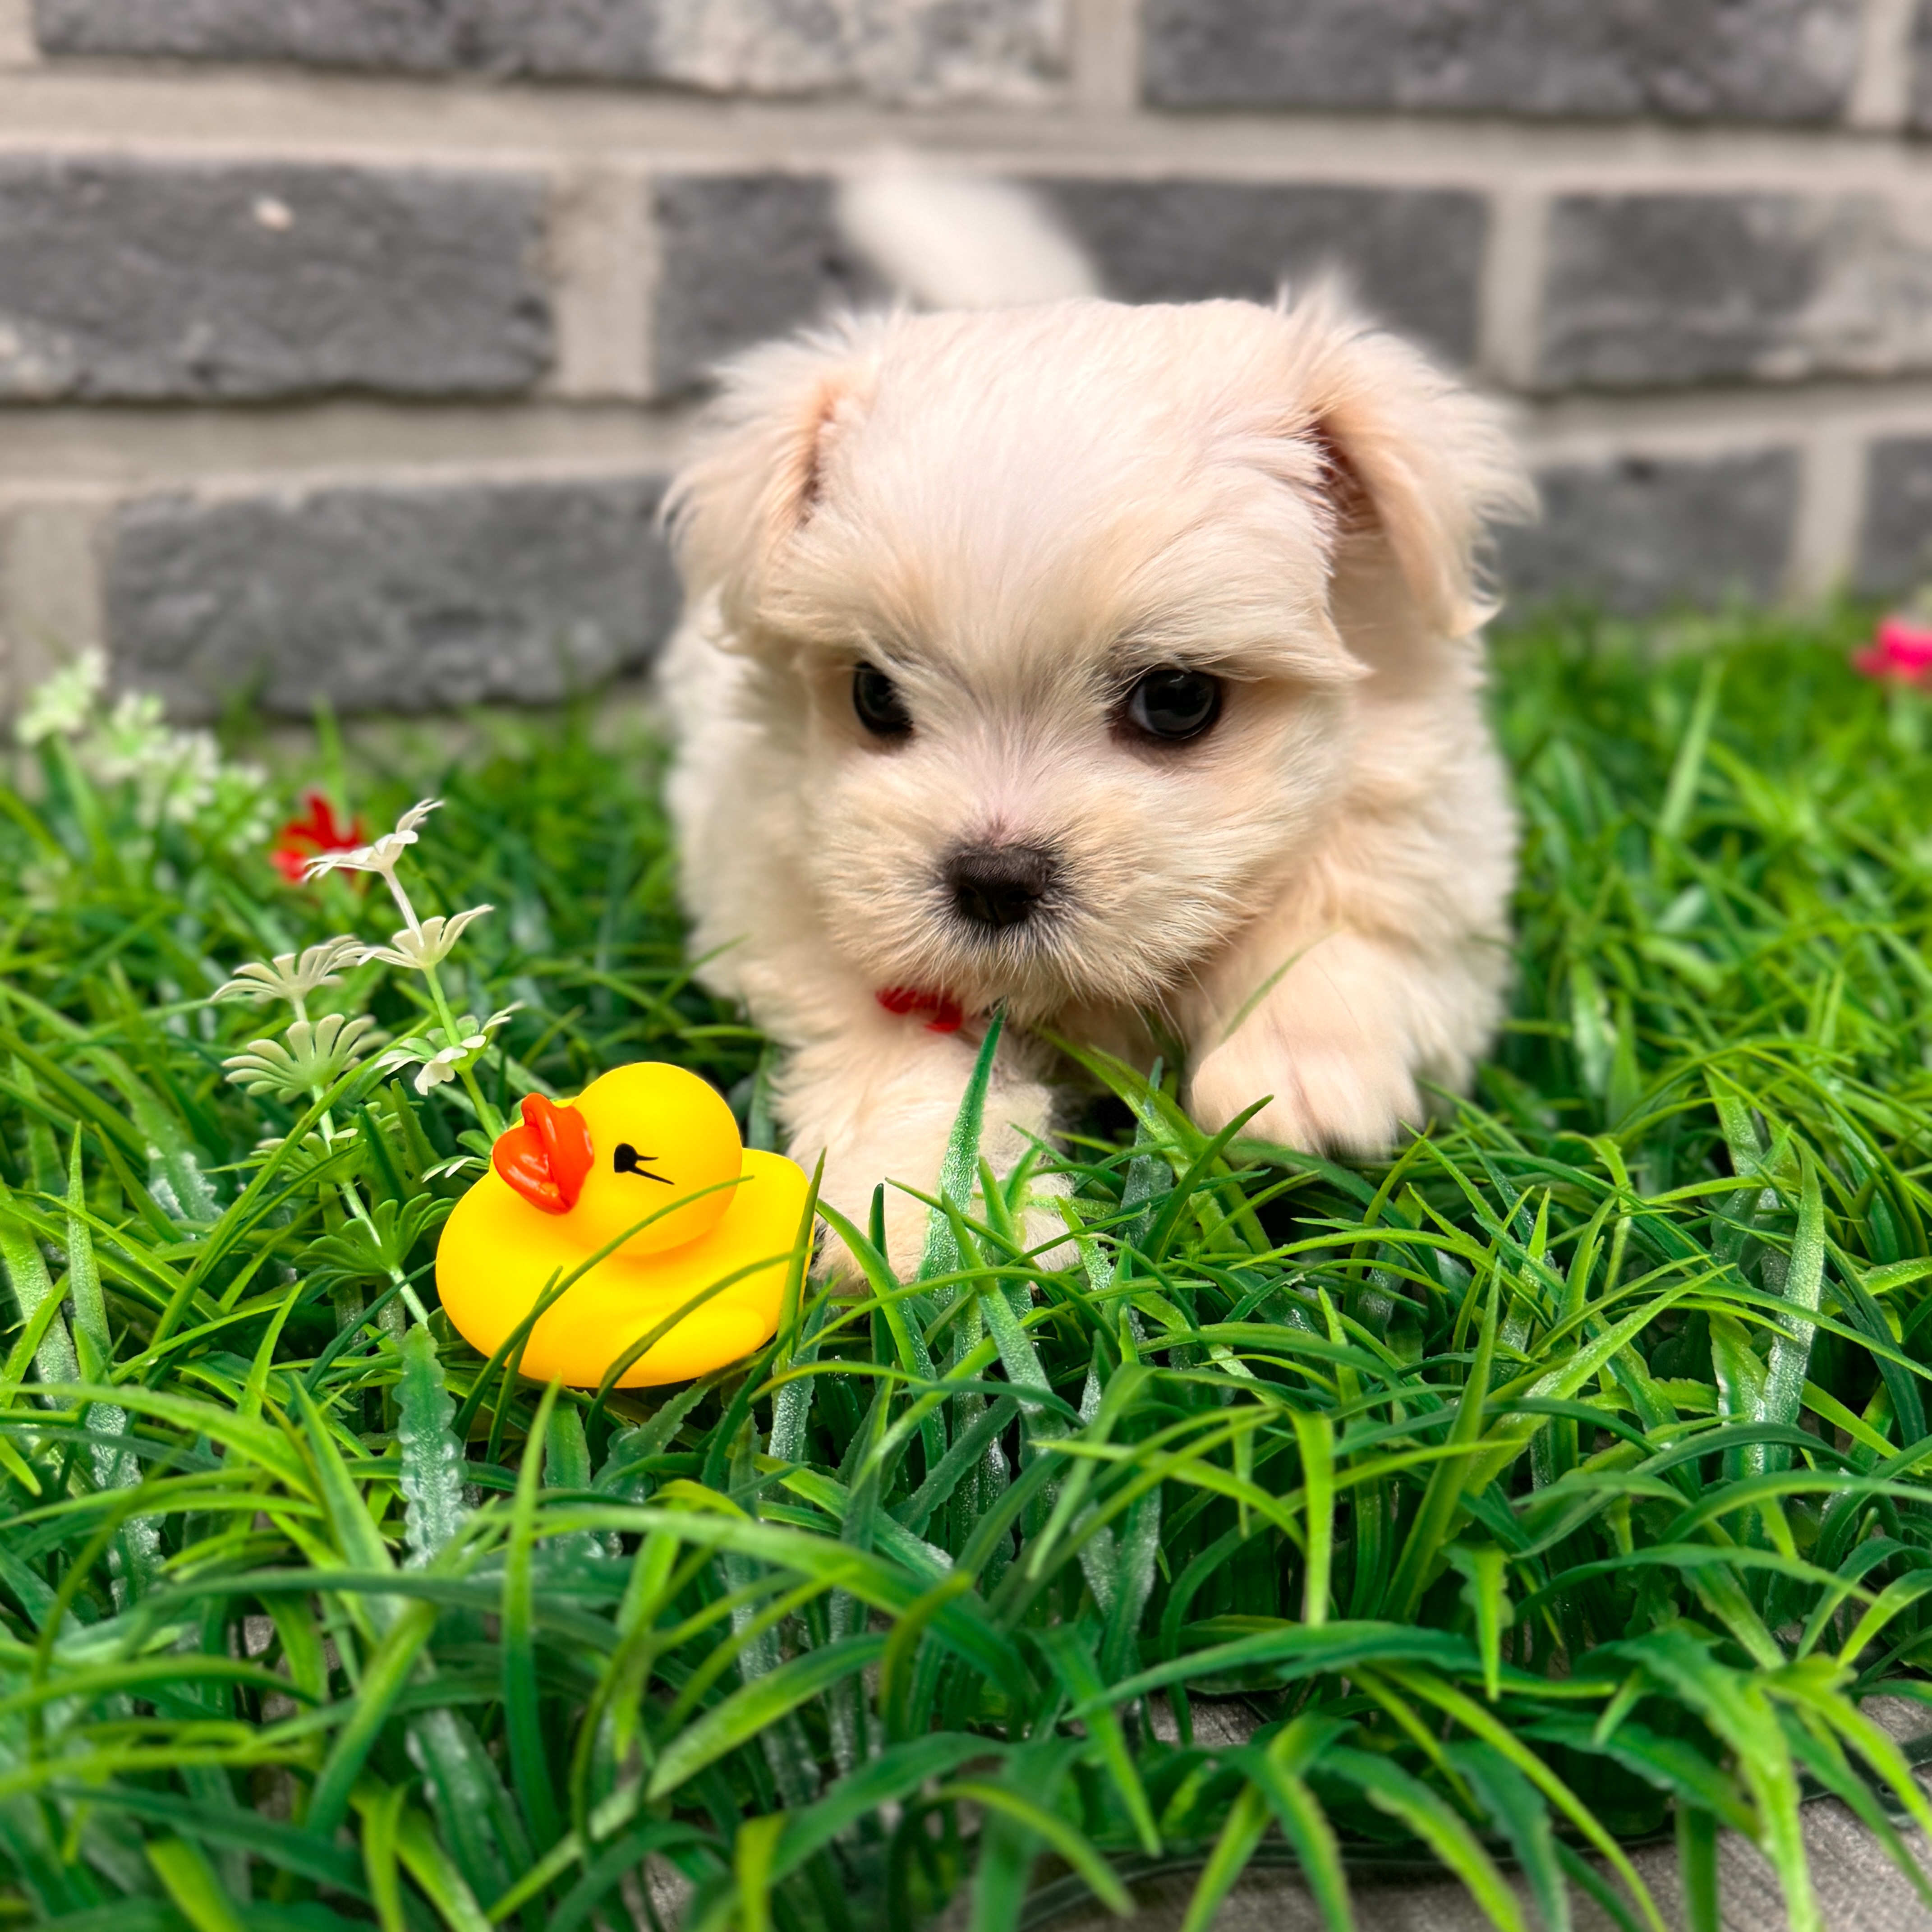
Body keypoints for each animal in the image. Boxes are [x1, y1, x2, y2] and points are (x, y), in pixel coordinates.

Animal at [659, 183, 1534, 1271]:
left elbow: (1356, 914)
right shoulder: (783, 894)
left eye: (1176, 700)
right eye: (872, 695)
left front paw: (1303, 1075)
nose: (993, 879)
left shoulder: (1422, 816)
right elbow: (893, 1050)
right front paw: (933, 1222)